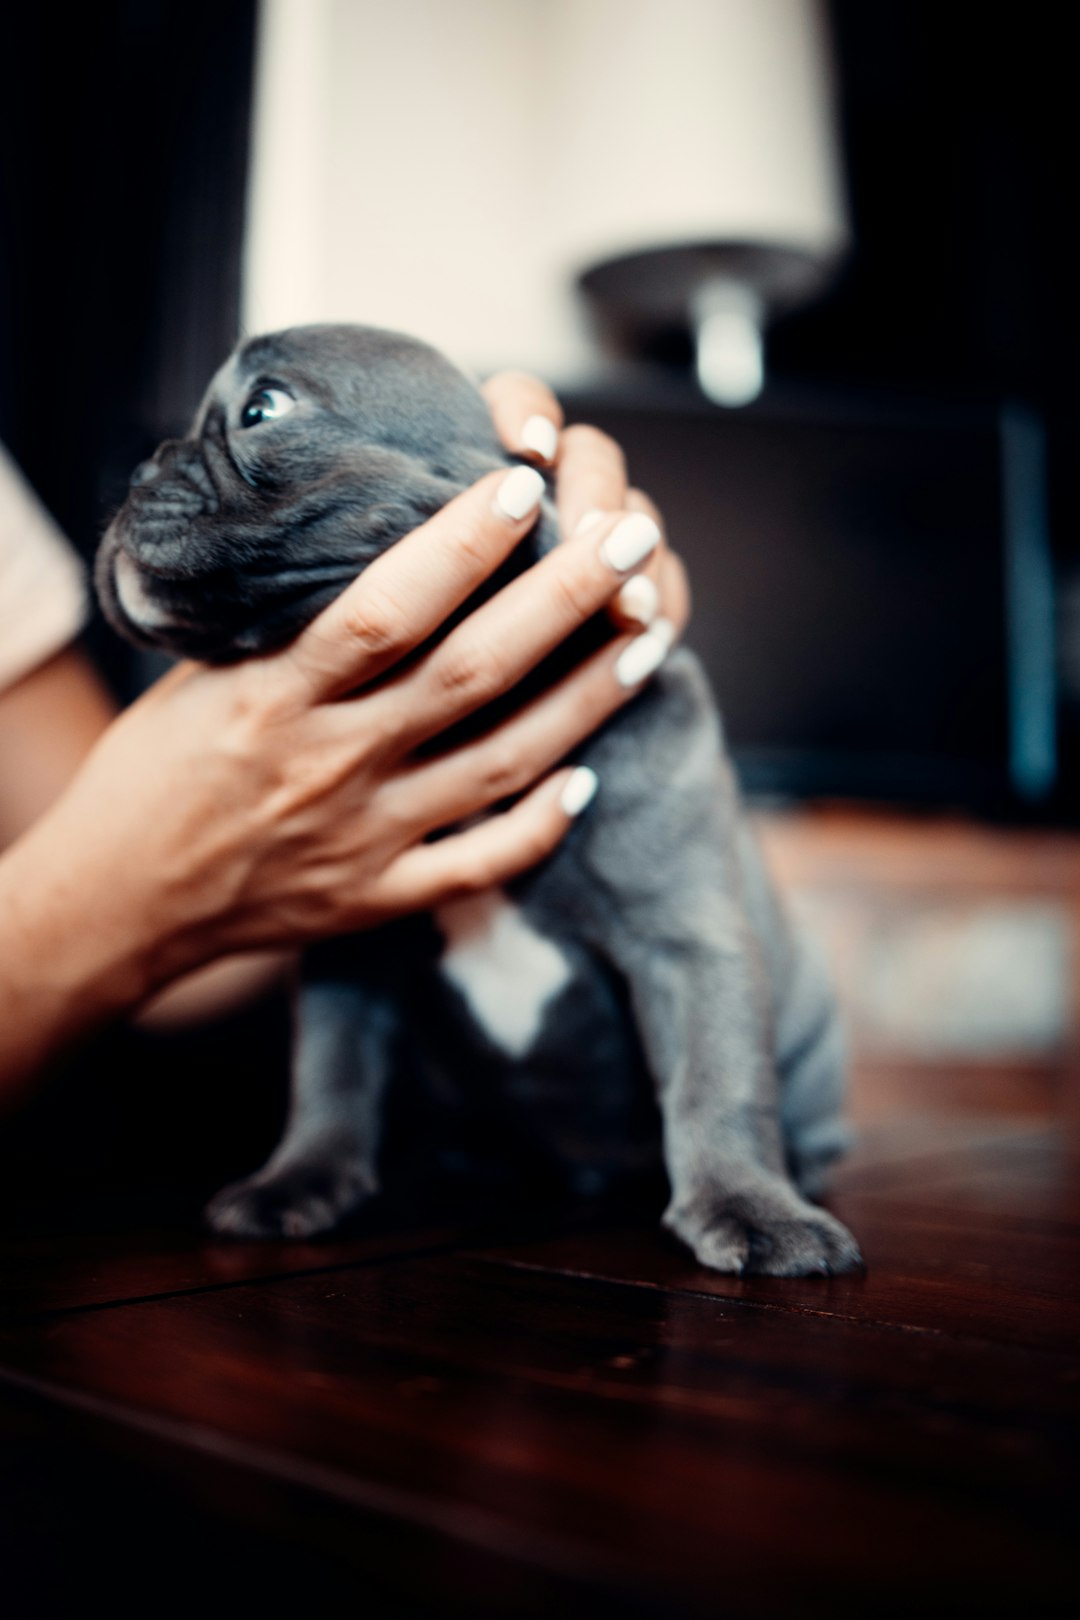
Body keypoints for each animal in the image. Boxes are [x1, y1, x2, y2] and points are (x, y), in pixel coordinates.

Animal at [97, 322, 867, 1270]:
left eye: (263, 409)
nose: (139, 467)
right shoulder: (347, 956)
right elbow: (330, 1072)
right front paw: (296, 1181)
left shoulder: (686, 942)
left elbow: (719, 1078)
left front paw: (753, 1207)